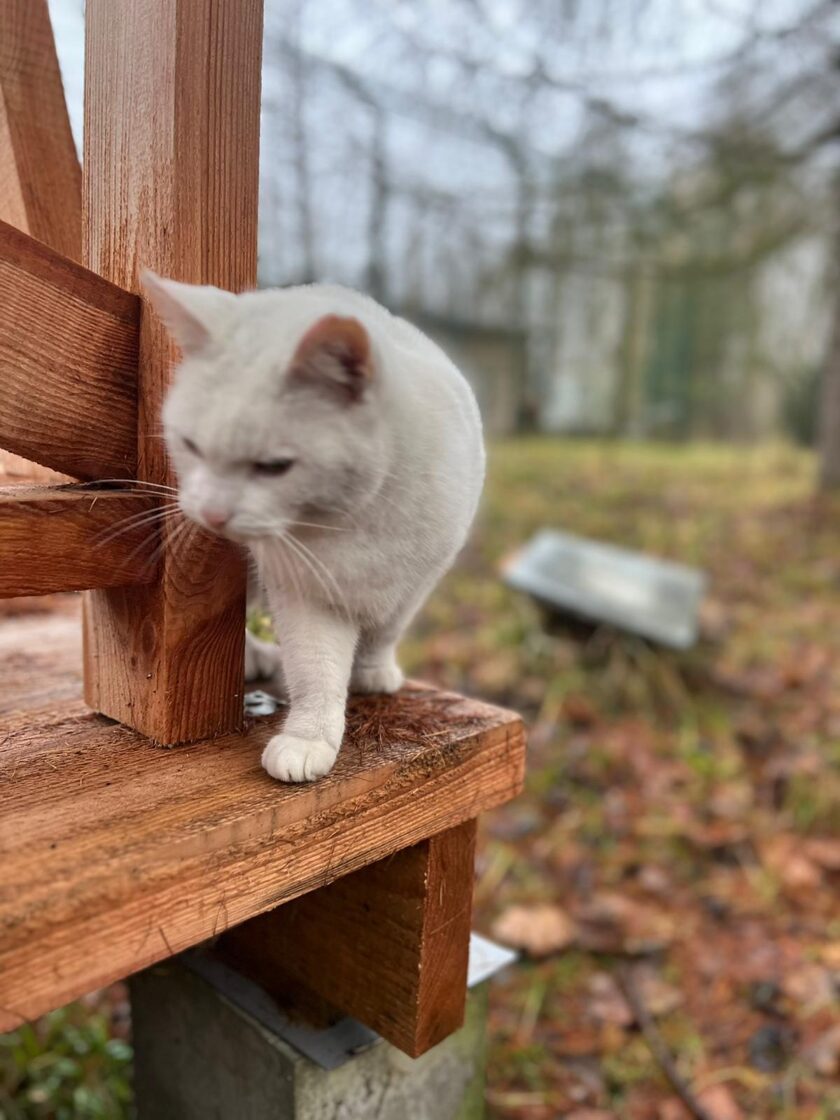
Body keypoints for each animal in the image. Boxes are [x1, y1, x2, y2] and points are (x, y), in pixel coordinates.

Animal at [142, 272, 485, 782]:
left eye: (273, 467)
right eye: (191, 446)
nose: (212, 513)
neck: (352, 519)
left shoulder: (420, 579)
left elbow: (386, 630)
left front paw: (372, 672)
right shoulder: (305, 593)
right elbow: (315, 668)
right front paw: (309, 739)